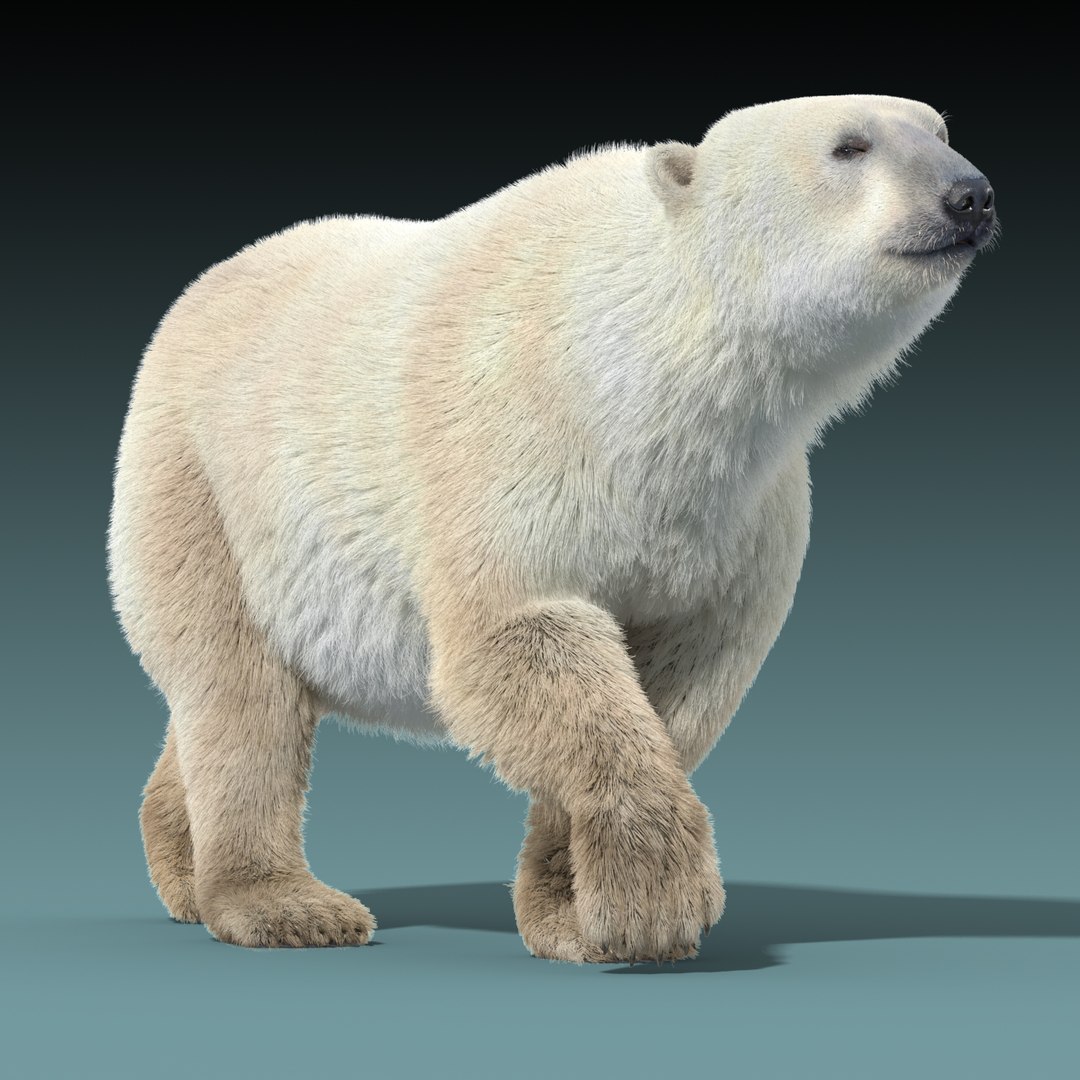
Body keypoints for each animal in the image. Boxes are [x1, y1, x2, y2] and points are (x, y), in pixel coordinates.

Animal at [108, 94, 996, 963]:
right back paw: (285, 906)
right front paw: (655, 903)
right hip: (203, 487)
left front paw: (572, 915)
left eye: (941, 129)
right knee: (238, 691)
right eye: (850, 145)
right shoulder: (521, 431)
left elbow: (679, 672)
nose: (971, 196)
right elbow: (522, 630)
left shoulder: (737, 511)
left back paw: (182, 870)